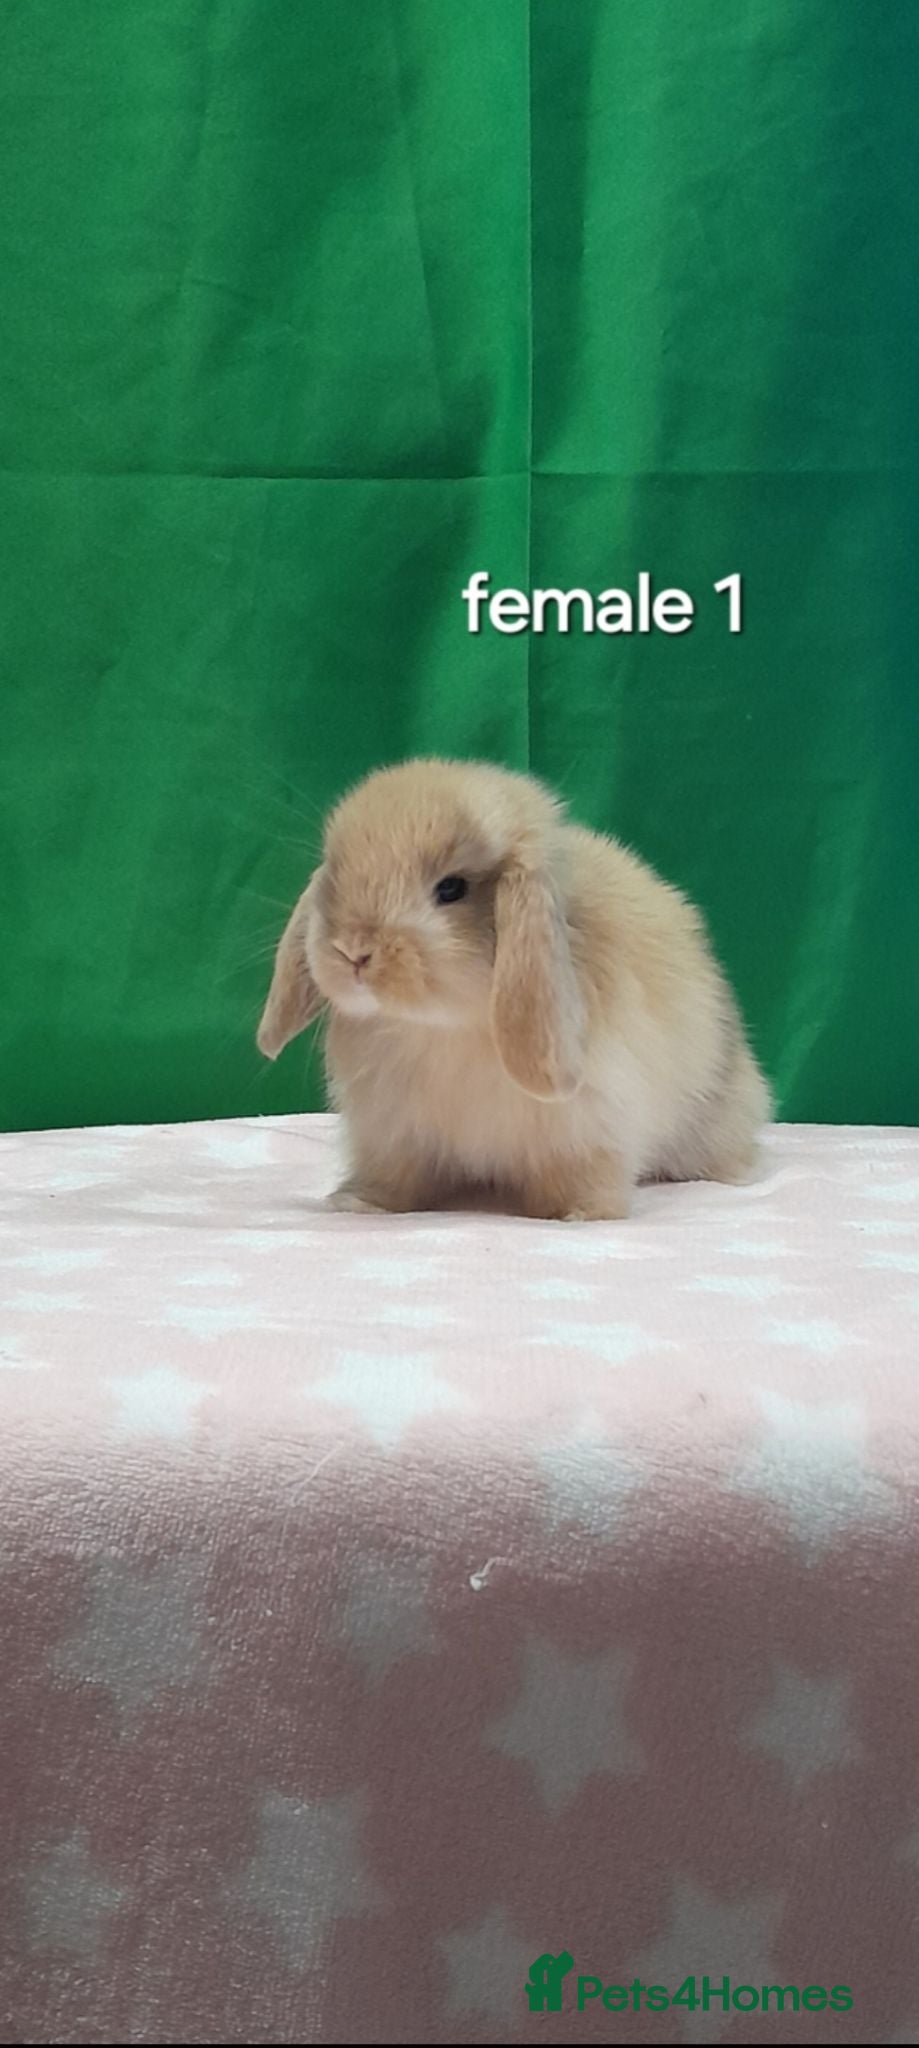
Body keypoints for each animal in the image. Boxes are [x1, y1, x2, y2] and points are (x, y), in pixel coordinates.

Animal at [256, 757, 771, 1220]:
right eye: (334, 874)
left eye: (451, 889)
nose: (353, 950)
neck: (444, 1028)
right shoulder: (391, 1135)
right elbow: (396, 1177)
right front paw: (361, 1202)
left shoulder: (587, 1128)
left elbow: (582, 1176)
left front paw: (579, 1214)